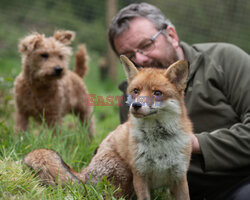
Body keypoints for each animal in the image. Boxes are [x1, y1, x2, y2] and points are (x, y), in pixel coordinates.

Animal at [23, 55, 192, 199]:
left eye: (157, 93)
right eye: (136, 91)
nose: (136, 106)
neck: (159, 145)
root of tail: (85, 173)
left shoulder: (180, 177)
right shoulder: (140, 175)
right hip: (124, 173)